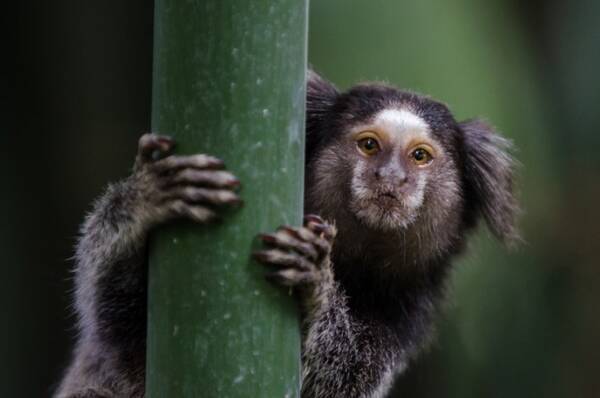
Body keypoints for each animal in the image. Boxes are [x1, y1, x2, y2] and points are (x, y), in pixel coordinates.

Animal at [55, 70, 516, 396]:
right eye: (369, 145)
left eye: (420, 156)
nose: (391, 177)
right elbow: (116, 321)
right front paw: (144, 198)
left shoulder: (405, 315)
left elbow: (337, 383)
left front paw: (314, 284)